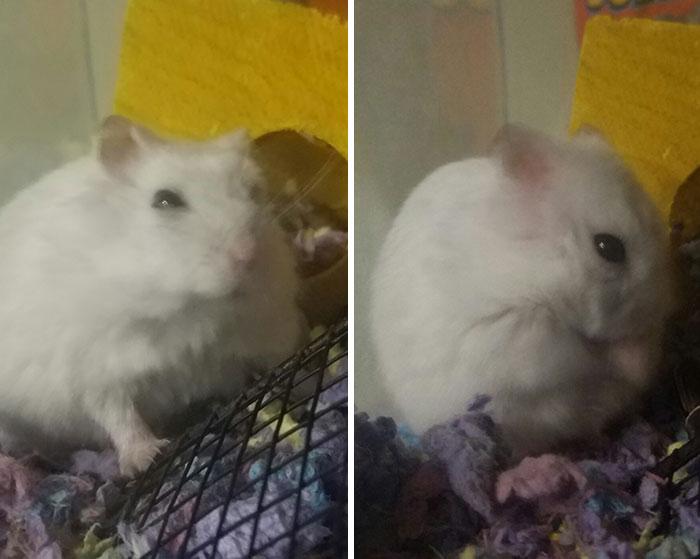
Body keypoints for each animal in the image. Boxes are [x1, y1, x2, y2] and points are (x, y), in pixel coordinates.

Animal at [0, 116, 307, 476]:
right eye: (165, 199)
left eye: (253, 192)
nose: (249, 256)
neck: (190, 309)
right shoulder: (94, 369)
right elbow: (120, 417)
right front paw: (144, 461)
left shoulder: (266, 335)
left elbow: (275, 368)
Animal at [371, 125, 674, 456]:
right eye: (608, 247)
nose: (660, 310)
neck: (533, 267)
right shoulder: (522, 335)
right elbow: (588, 356)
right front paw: (630, 360)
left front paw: (642, 360)